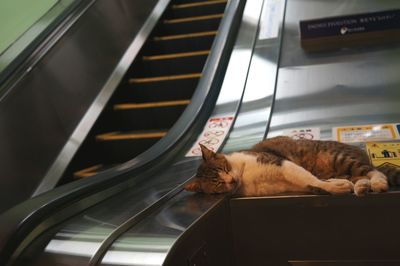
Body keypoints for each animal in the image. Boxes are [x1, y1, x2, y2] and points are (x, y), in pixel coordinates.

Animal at [184, 136, 400, 196]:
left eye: (224, 169)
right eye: (217, 183)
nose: (231, 180)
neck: (244, 177)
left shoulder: (282, 164)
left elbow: (310, 178)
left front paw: (334, 186)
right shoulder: (280, 185)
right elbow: (310, 183)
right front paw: (334, 185)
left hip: (338, 158)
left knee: (374, 171)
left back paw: (378, 183)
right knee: (359, 176)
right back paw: (361, 186)